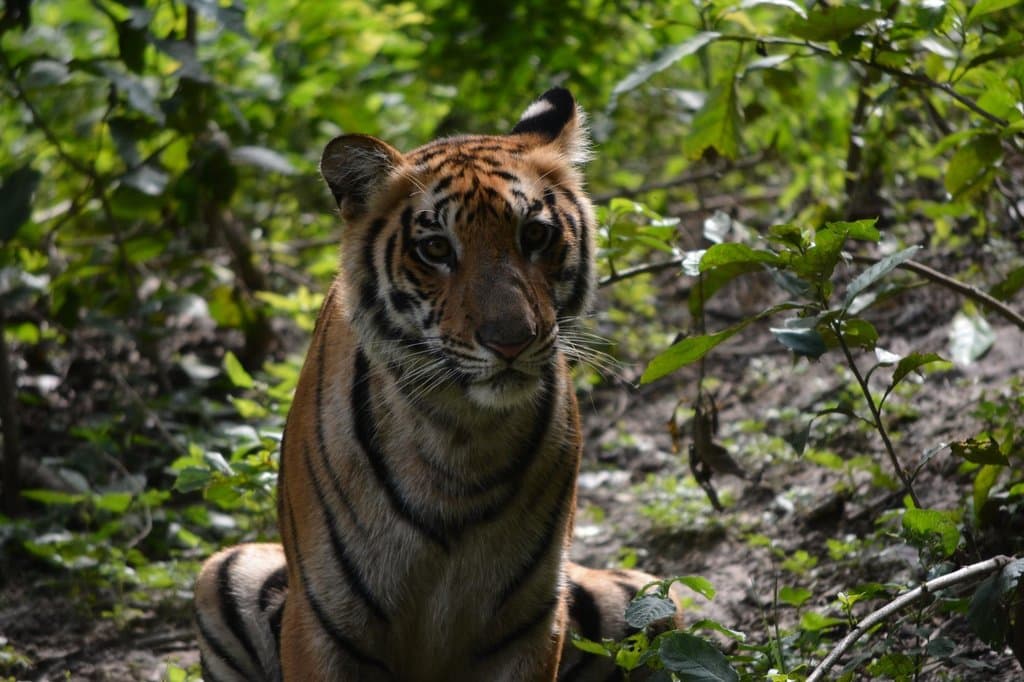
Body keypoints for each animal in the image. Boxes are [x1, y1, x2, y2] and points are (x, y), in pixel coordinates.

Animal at [193, 88, 680, 682]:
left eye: (535, 235)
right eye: (436, 249)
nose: (511, 341)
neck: (463, 433)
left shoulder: (530, 624)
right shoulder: (323, 622)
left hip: (647, 600)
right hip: (224, 572)